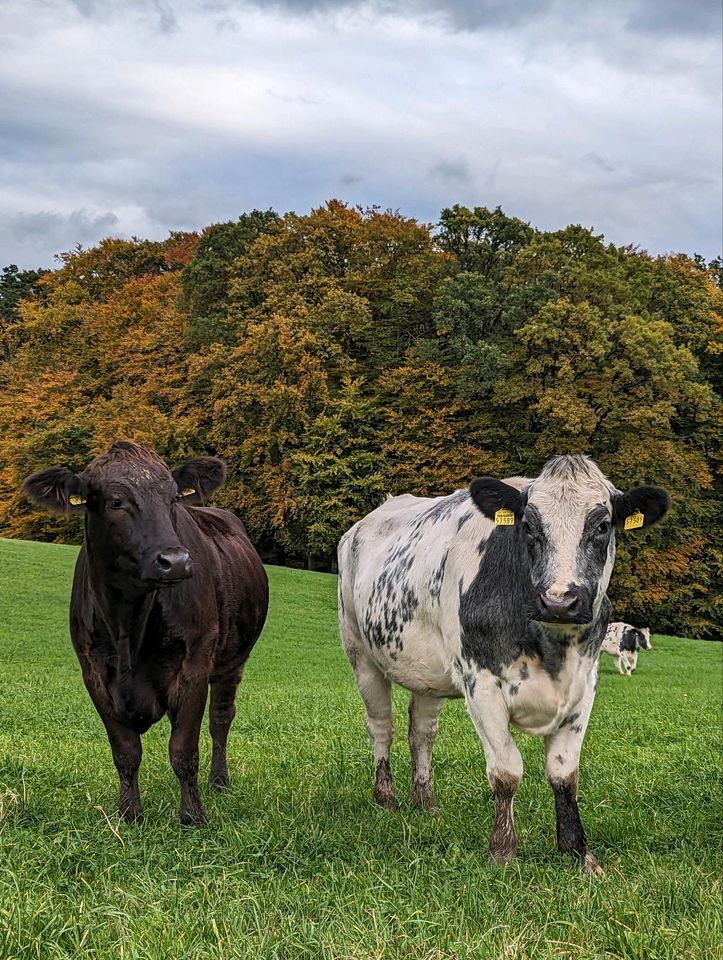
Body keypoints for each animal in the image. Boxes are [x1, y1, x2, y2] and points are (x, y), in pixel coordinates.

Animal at [25, 442, 270, 824]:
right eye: (115, 501)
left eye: (172, 498)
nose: (176, 561)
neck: (128, 624)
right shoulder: (93, 672)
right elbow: (126, 751)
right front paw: (130, 814)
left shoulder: (195, 666)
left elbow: (183, 749)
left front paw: (193, 816)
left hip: (234, 661)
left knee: (220, 720)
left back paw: (219, 781)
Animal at [340, 456, 672, 872]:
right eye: (527, 525)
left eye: (602, 525)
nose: (559, 601)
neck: (553, 646)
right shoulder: (481, 684)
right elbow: (506, 772)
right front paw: (503, 851)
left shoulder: (584, 687)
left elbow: (565, 774)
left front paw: (579, 852)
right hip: (360, 651)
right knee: (382, 725)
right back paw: (386, 797)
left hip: (428, 671)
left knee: (422, 731)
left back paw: (426, 802)